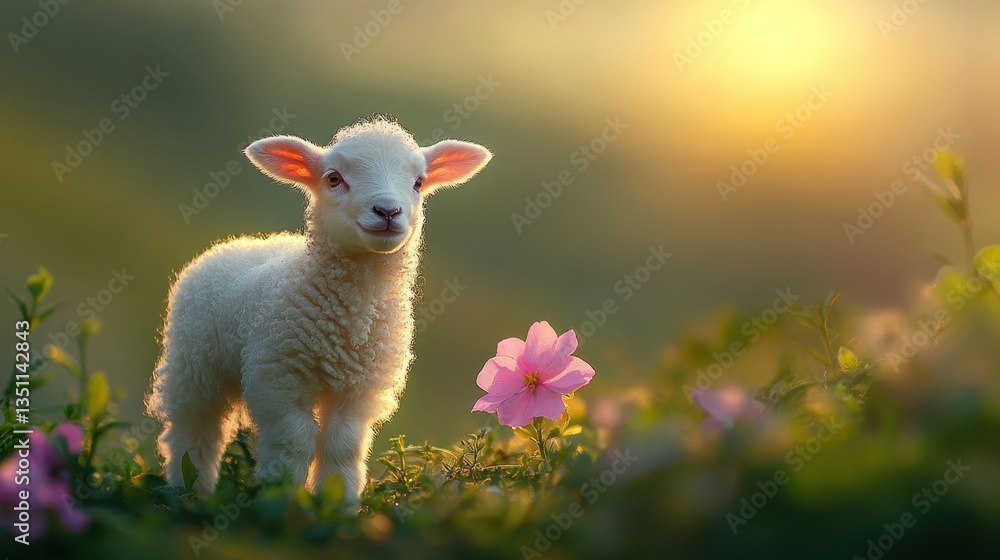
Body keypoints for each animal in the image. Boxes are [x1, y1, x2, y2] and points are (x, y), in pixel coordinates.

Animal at [146, 116, 492, 503]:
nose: (388, 211)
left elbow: (342, 445)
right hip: (194, 366)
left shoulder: (361, 389)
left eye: (418, 182)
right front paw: (280, 497)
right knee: (195, 432)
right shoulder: (278, 378)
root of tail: (235, 242)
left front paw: (337, 502)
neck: (347, 322)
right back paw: (189, 490)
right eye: (334, 178)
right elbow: (294, 442)